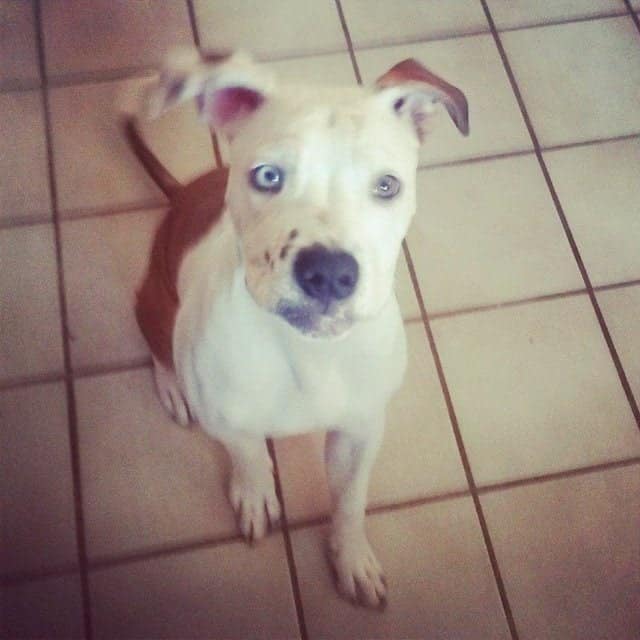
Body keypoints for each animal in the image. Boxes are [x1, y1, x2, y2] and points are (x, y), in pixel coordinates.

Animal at [127, 48, 468, 608]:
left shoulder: (360, 429)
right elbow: (248, 457)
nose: (328, 272)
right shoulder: (228, 422)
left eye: (387, 185)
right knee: (156, 344)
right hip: (153, 302)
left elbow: (350, 500)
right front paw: (256, 494)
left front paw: (352, 558)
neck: (308, 353)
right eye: (268, 176)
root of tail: (179, 196)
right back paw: (172, 385)